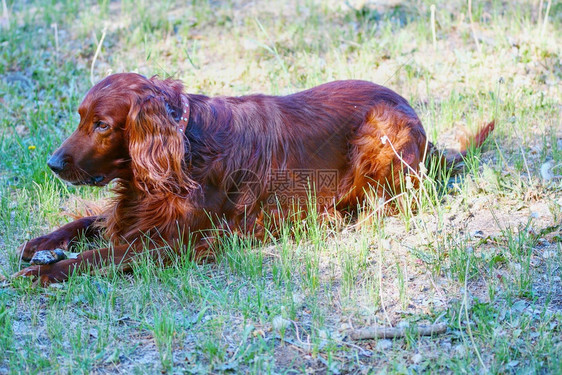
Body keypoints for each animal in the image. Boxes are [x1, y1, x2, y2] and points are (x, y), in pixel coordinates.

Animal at [15, 72, 492, 284]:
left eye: (102, 125)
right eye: (81, 118)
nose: (53, 164)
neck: (183, 145)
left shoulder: (179, 242)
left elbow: (104, 254)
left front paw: (46, 271)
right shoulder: (137, 211)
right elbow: (90, 222)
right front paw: (42, 245)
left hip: (380, 135)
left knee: (393, 203)